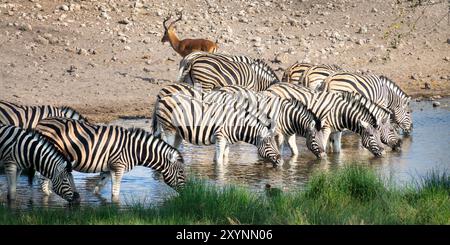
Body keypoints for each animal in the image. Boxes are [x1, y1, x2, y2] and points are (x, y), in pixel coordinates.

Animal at [34, 117, 186, 202]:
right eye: (181, 173)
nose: (188, 193)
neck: (134, 149)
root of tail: (42, 122)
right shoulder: (118, 167)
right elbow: (115, 193)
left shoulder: (107, 169)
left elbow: (98, 189)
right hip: (49, 157)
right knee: (43, 183)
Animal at [153, 87, 284, 166]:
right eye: (268, 144)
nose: (281, 161)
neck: (237, 125)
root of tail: (163, 97)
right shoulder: (220, 137)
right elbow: (219, 161)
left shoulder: (225, 141)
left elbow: (222, 158)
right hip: (168, 128)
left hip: (177, 132)